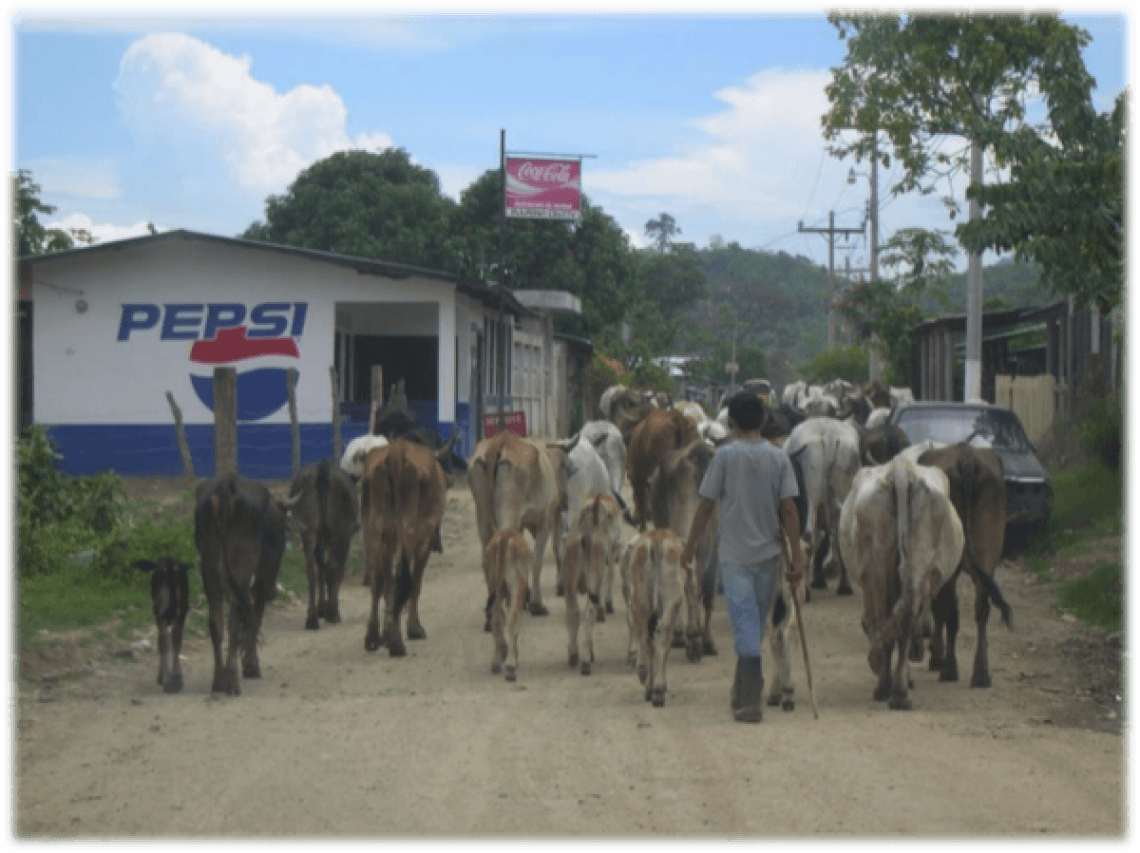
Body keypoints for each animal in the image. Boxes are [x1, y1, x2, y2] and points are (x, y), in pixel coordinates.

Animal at [194, 476, 303, 697]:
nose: (274, 592)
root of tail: (225, 488)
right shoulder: (261, 581)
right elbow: (256, 617)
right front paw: (251, 665)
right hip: (240, 574)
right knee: (235, 622)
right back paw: (232, 681)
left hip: (210, 575)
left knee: (216, 625)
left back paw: (219, 681)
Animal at [364, 435, 453, 656]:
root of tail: (397, 452)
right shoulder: (425, 540)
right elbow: (416, 582)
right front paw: (413, 628)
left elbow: (385, 582)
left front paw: (385, 631)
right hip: (408, 529)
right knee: (402, 578)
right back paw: (396, 641)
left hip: (373, 530)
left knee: (377, 580)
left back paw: (372, 636)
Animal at [483, 529, 531, 684]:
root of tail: (505, 536)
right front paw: (515, 657)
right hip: (517, 585)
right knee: (513, 618)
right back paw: (510, 667)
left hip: (495, 587)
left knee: (496, 618)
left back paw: (496, 662)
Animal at [839, 456, 962, 711]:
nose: (919, 648)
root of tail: (901, 469)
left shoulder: (867, 581)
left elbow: (871, 622)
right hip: (915, 563)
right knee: (904, 616)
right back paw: (899, 692)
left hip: (880, 572)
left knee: (889, 618)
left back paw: (887, 686)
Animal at [916, 447, 1016, 684]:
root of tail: (966, 458)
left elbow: (939, 608)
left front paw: (937, 654)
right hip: (988, 552)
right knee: (982, 608)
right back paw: (981, 673)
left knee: (952, 611)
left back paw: (949, 669)